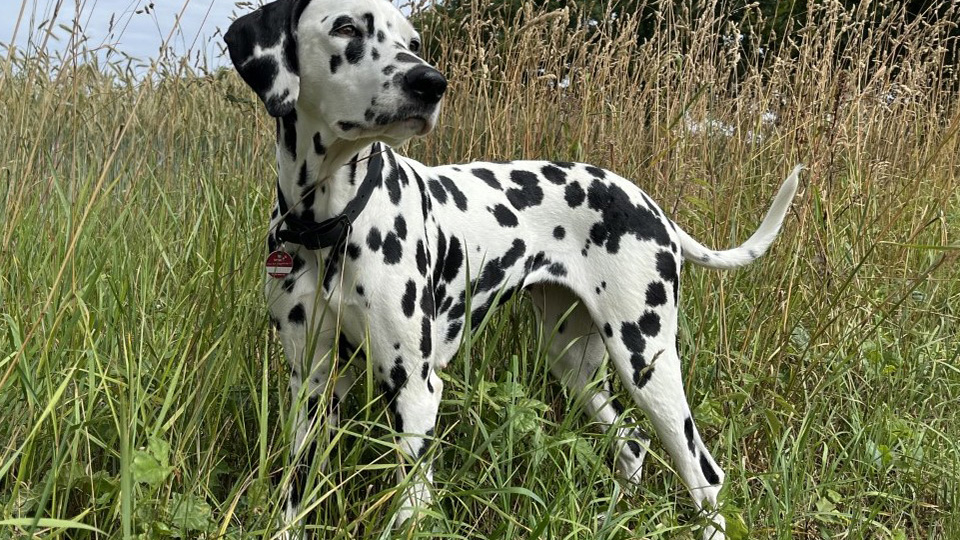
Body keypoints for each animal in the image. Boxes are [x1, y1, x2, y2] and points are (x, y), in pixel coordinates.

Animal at [225, 2, 804, 536]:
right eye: (346, 27)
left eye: (413, 40)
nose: (430, 82)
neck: (329, 219)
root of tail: (649, 204)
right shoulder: (311, 386)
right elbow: (295, 492)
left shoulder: (415, 390)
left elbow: (411, 507)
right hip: (574, 363)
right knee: (632, 444)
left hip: (645, 360)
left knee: (704, 473)